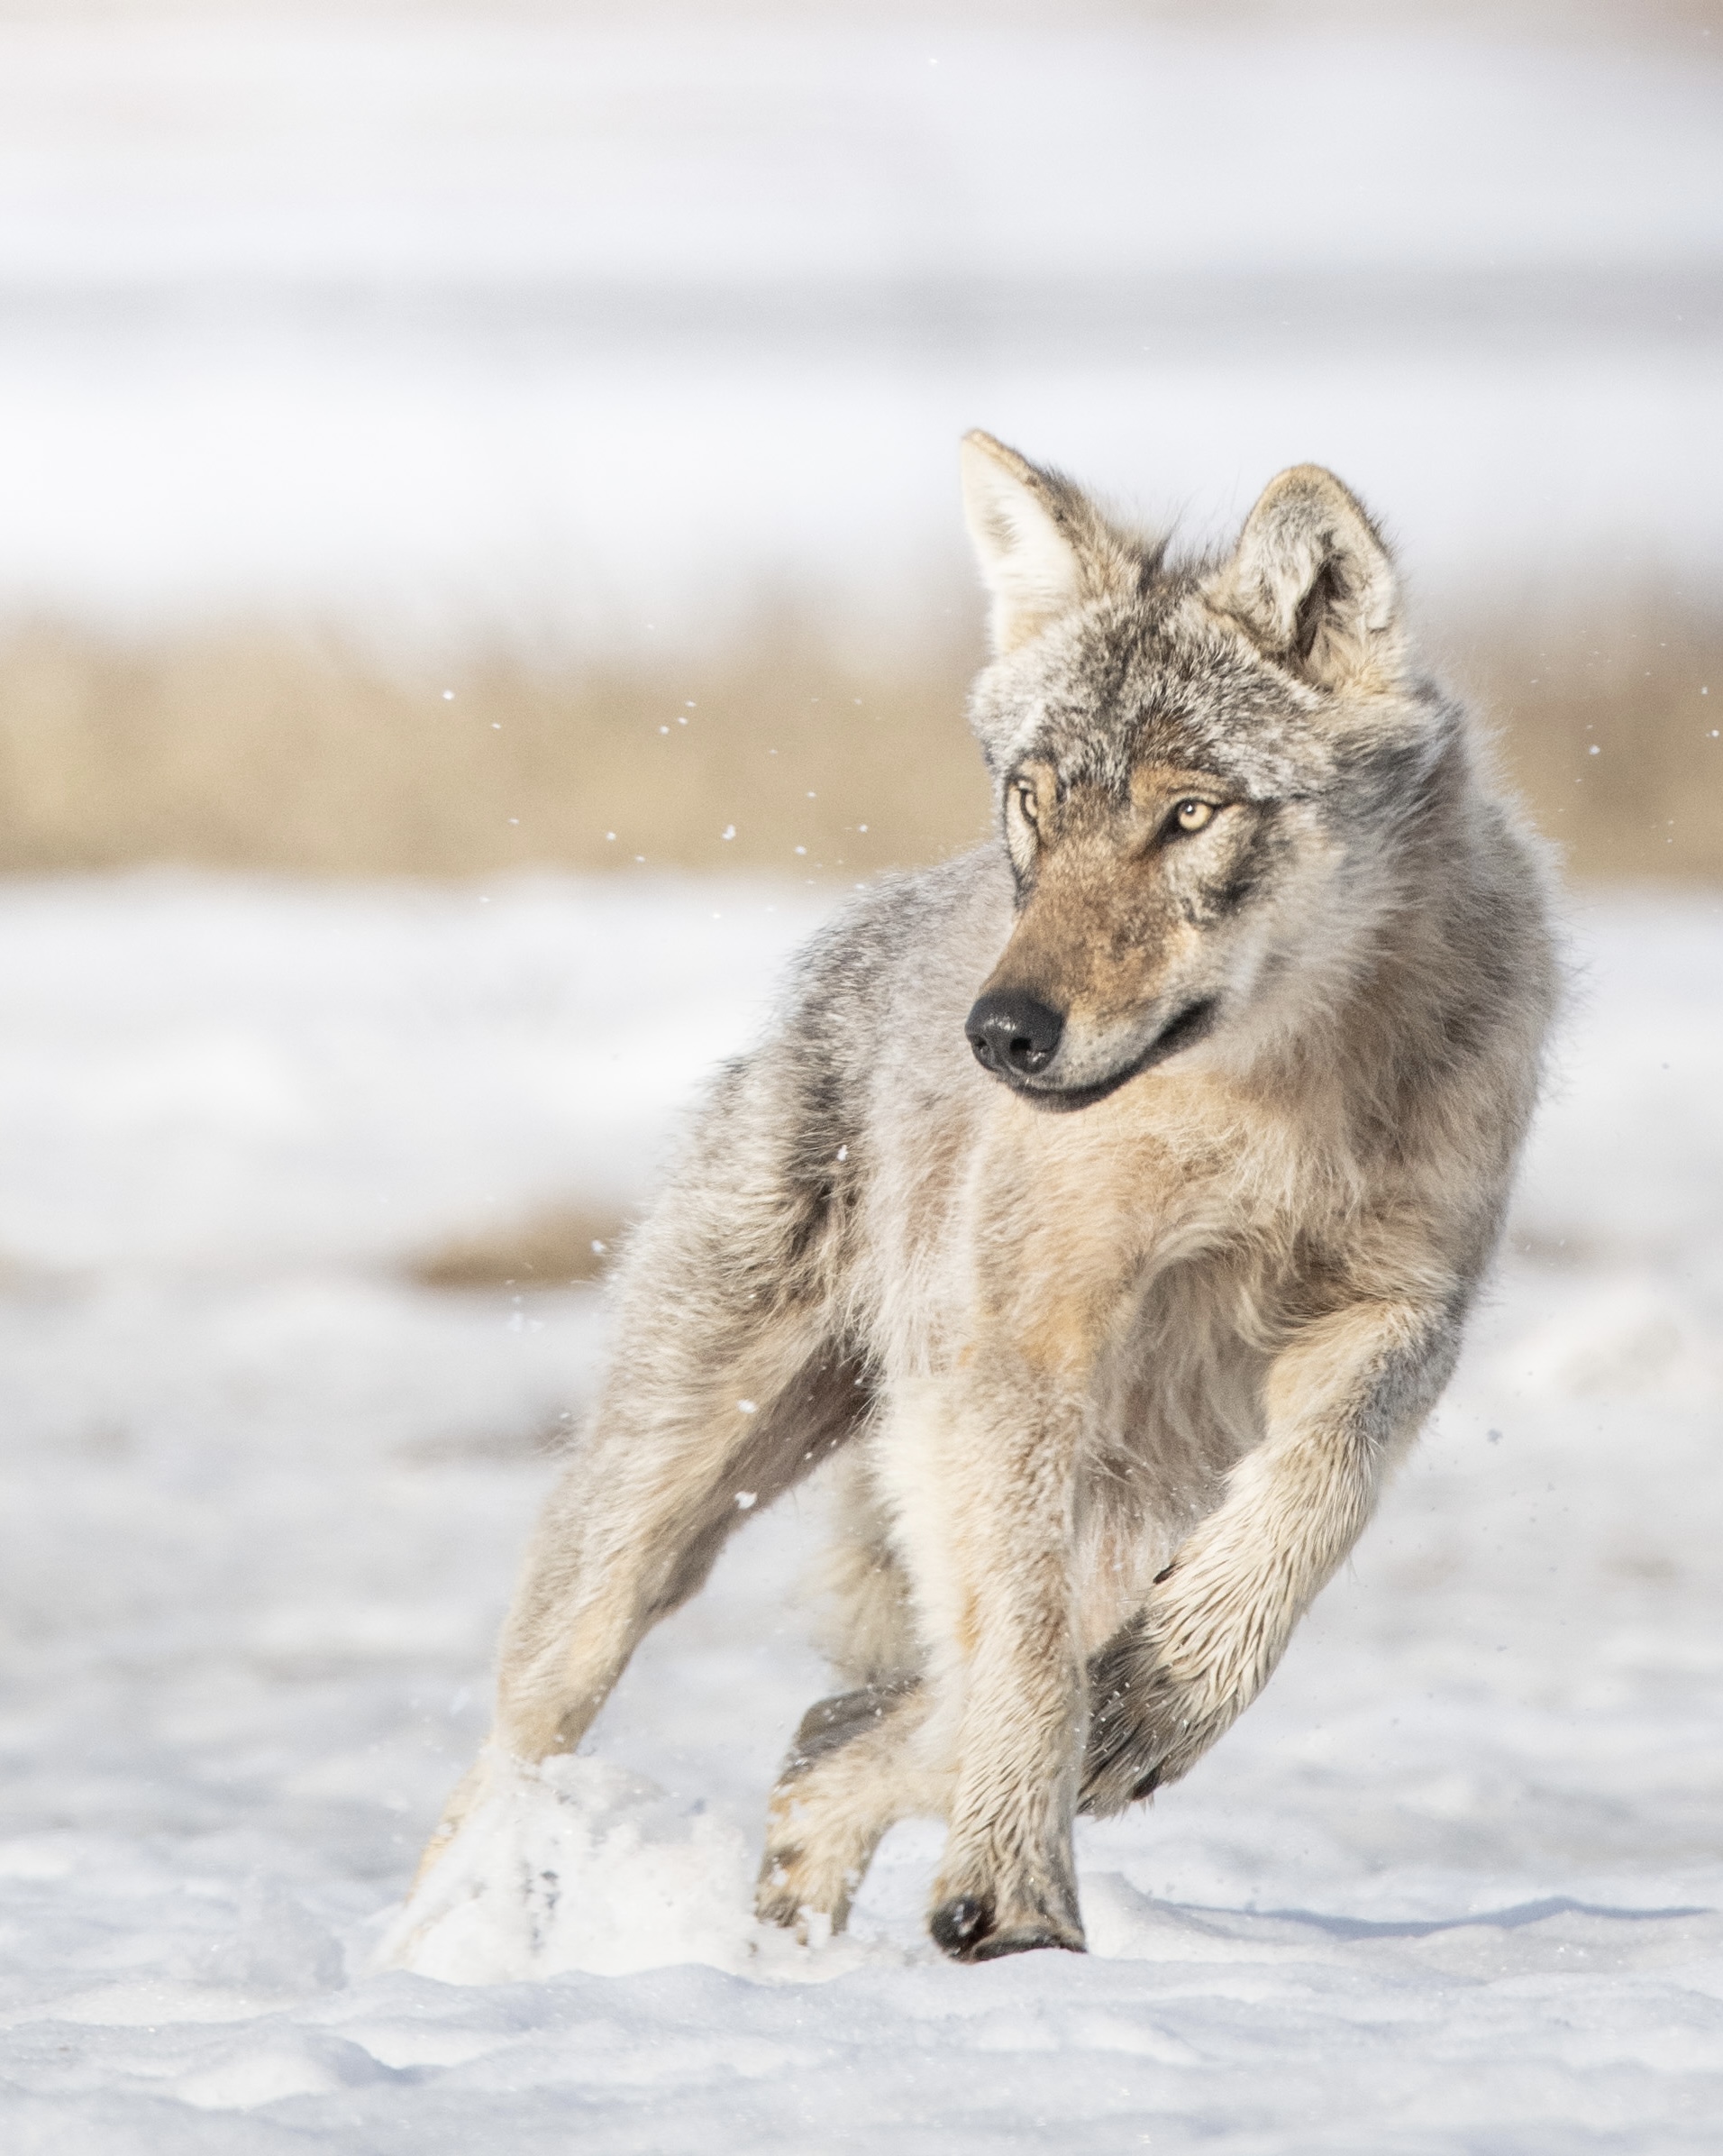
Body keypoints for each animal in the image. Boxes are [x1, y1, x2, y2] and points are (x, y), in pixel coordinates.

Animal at [418, 433, 1557, 1962]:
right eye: (1035, 800)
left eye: (1189, 814)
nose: (1003, 1034)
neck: (1267, 1110)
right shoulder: (1013, 1352)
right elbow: (1024, 1655)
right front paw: (1017, 1889)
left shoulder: (1402, 1318)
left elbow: (1303, 1519)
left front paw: (1154, 1708)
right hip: (672, 1518)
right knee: (518, 1750)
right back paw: (428, 1963)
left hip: (1103, 1500)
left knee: (835, 1735)